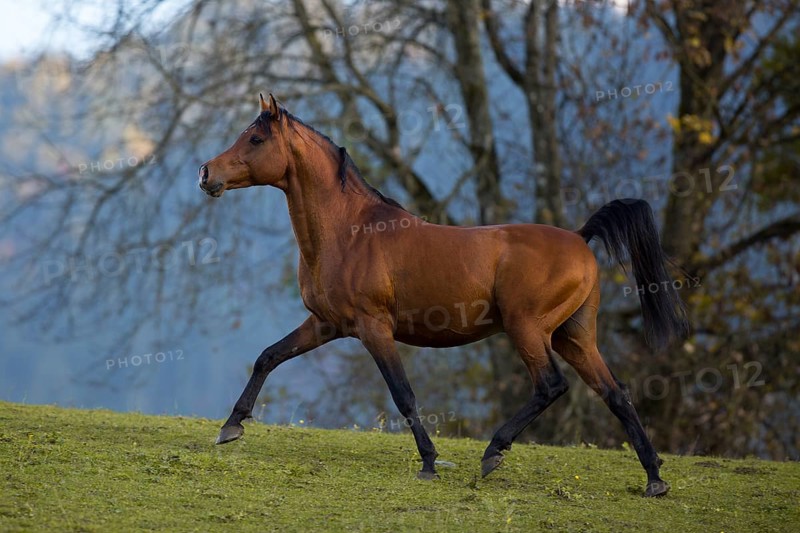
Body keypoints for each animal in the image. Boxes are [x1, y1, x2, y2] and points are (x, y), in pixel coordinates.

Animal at [198, 94, 688, 497]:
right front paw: (230, 428)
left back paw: (494, 452)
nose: (206, 173)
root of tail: (579, 238)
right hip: (575, 336)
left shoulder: (373, 328)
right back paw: (654, 479)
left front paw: (430, 463)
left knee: (550, 385)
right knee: (616, 394)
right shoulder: (325, 324)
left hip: (528, 329)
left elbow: (403, 394)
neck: (348, 232)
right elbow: (268, 357)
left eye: (256, 137)